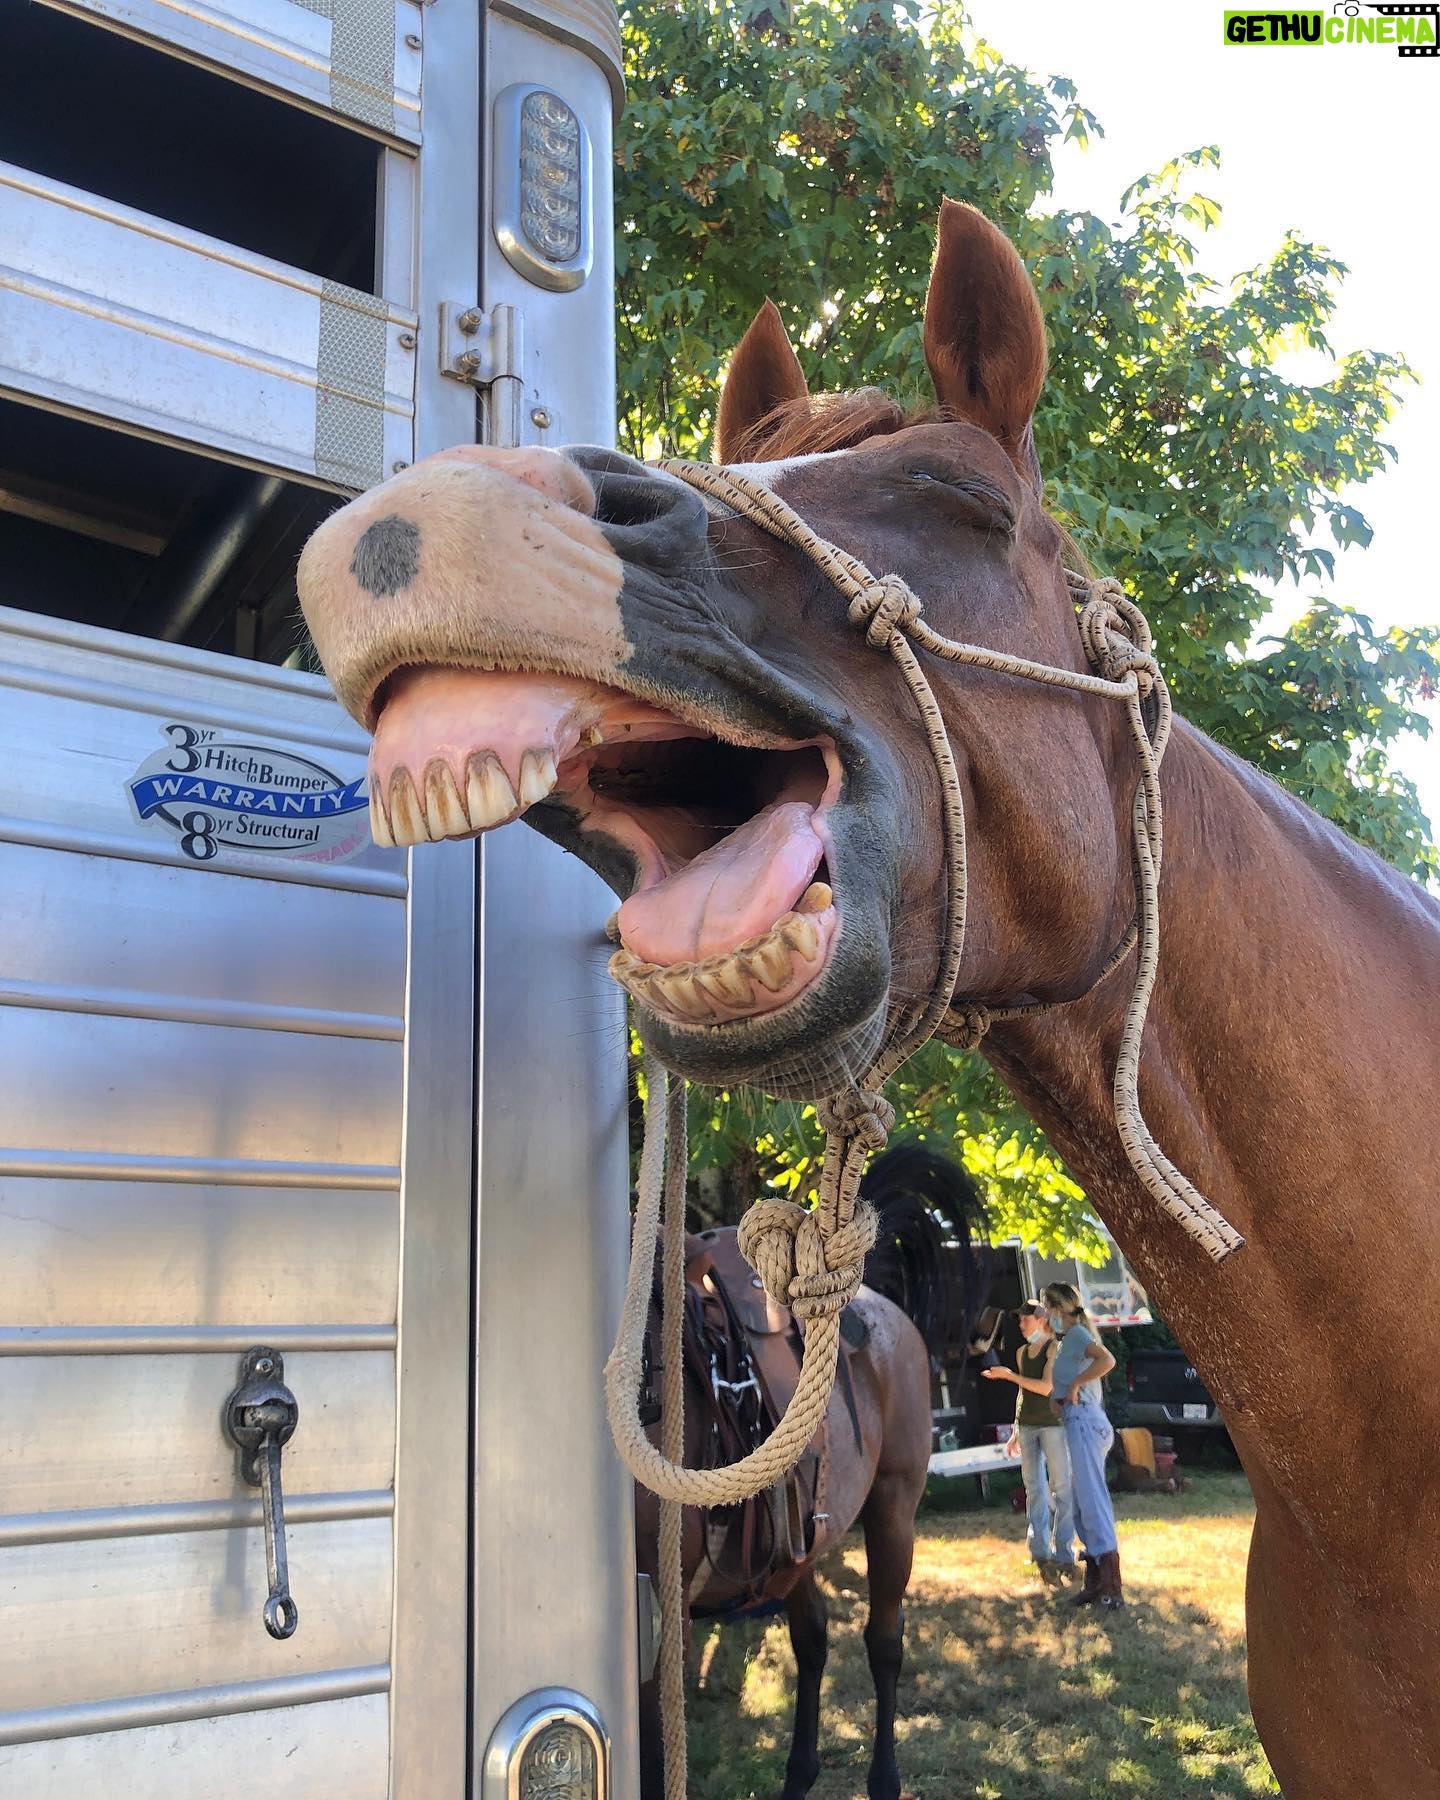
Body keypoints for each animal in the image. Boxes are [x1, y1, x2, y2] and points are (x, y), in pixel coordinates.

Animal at [635, 1144, 987, 1799]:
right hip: (795, 1541)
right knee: (814, 1638)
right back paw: (799, 1774)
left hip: (894, 1510)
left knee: (884, 1639)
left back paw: (884, 1779)